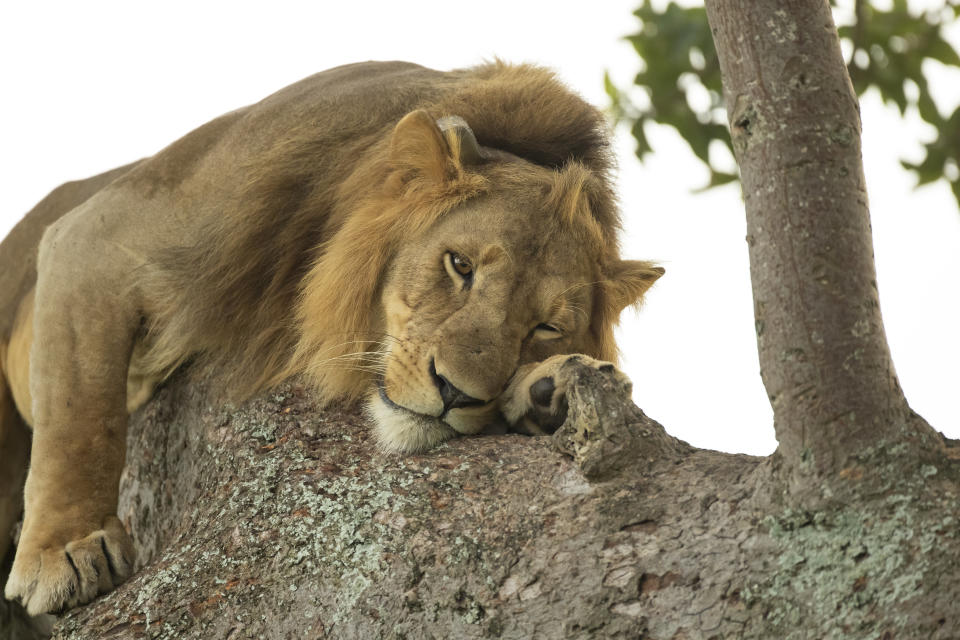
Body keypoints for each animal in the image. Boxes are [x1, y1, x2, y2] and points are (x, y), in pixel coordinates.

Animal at [0, 61, 660, 616]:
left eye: (545, 326)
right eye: (460, 265)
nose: (455, 393)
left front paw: (554, 389)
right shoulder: (97, 237)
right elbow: (80, 417)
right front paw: (66, 552)